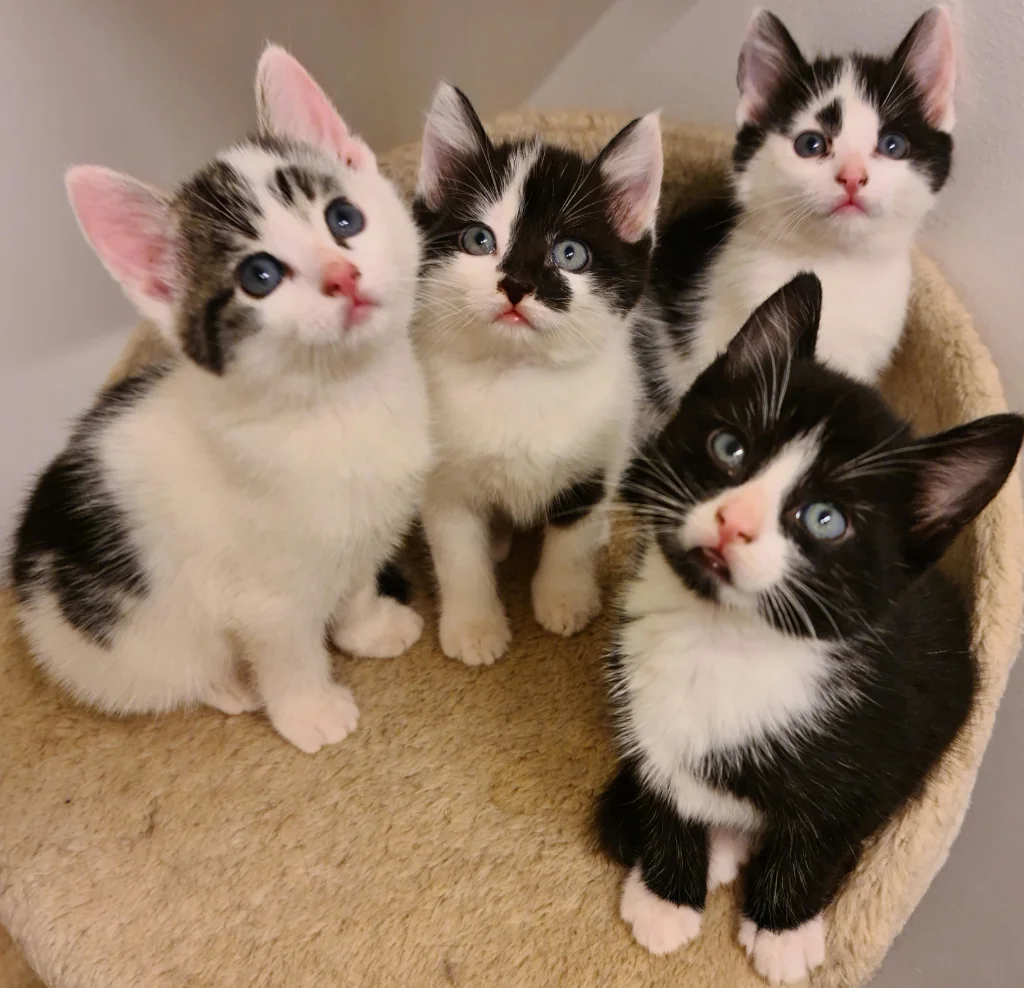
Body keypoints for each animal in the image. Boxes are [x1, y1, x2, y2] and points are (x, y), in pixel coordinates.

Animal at [14, 46, 434, 757]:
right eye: (258, 277)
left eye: (343, 219)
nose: (342, 275)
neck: (339, 398)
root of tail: (26, 568)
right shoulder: (263, 594)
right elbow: (288, 649)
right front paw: (310, 712)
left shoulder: (362, 530)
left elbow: (351, 583)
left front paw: (368, 626)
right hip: (133, 640)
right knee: (175, 670)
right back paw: (231, 686)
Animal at [409, 84, 663, 667]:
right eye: (479, 240)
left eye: (569, 254)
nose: (517, 284)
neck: (519, 378)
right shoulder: (441, 477)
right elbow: (457, 552)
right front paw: (474, 626)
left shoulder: (596, 454)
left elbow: (571, 535)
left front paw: (564, 599)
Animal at [598, 274, 1019, 982]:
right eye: (730, 447)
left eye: (826, 520)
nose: (734, 522)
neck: (721, 641)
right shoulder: (641, 700)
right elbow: (667, 785)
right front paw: (667, 895)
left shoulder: (881, 734)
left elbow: (825, 830)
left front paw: (783, 930)